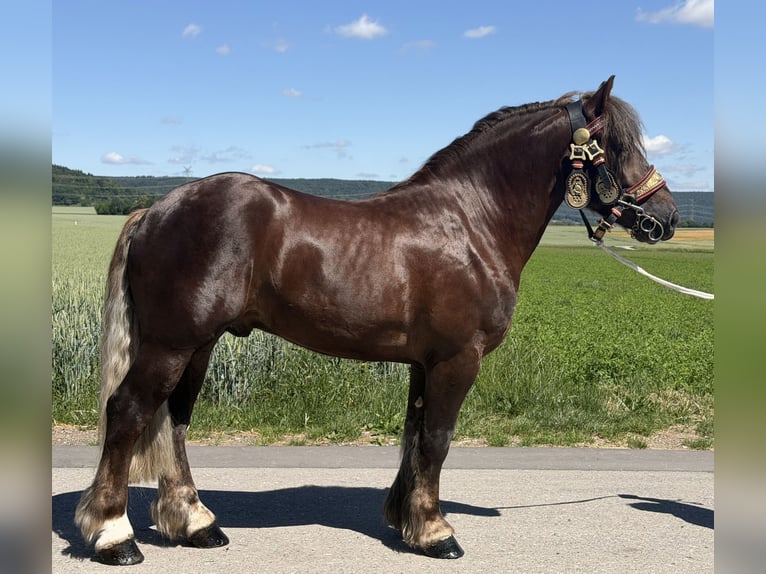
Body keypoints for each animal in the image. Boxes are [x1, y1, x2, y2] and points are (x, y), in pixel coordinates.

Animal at [74, 76, 679, 565]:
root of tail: (155, 210)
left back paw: (197, 524)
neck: (470, 221)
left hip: (197, 347)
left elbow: (415, 436)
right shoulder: (457, 360)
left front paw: (407, 520)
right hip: (170, 344)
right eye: (618, 145)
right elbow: (437, 439)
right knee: (128, 412)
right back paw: (114, 536)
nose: (666, 218)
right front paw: (437, 532)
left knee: (173, 419)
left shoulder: (423, 364)